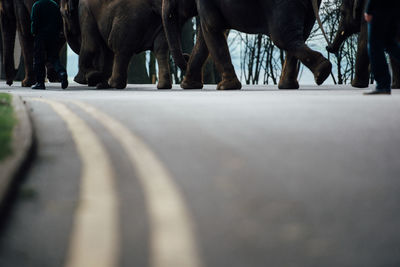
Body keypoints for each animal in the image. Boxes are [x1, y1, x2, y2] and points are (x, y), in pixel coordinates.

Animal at [161, 0, 332, 90]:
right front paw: (189, 86)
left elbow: (211, 28)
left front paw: (226, 87)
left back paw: (322, 72)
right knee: (299, 36)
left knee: (283, 38)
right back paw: (292, 84)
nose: (185, 56)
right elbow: (205, 36)